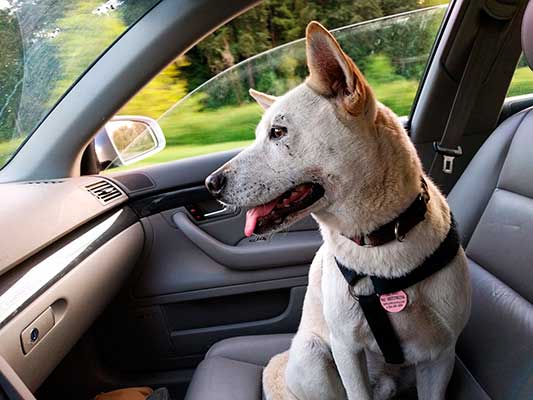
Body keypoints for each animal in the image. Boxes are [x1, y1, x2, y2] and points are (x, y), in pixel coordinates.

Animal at [204, 21, 470, 400]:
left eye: (278, 132)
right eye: (258, 135)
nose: (210, 183)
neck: (380, 242)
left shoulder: (441, 357)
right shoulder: (347, 348)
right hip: (313, 356)